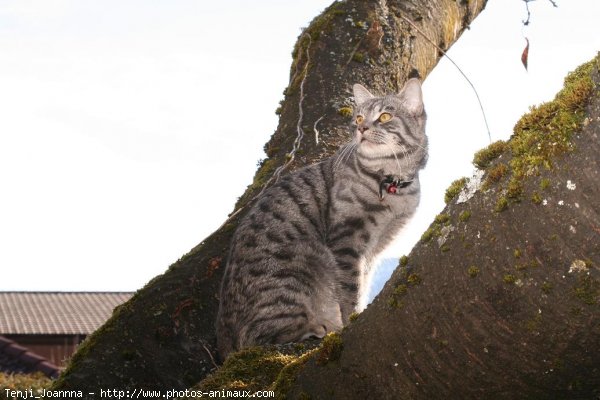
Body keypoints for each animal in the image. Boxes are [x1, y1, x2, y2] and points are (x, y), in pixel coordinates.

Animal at [218, 78, 428, 360]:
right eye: (359, 117)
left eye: (384, 116)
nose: (361, 127)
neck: (391, 182)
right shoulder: (346, 240)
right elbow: (350, 289)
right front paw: (352, 318)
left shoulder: (372, 252)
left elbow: (363, 282)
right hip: (297, 270)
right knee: (259, 338)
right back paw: (317, 327)